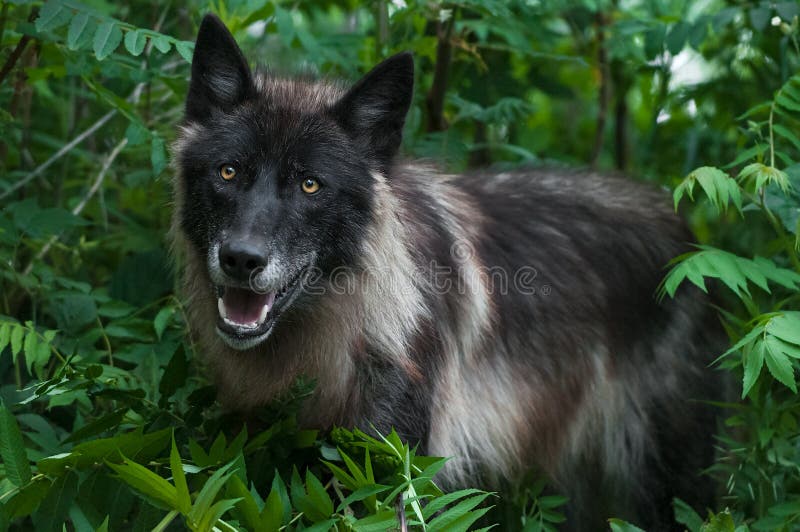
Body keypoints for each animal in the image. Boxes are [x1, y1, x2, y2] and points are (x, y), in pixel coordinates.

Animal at [172, 14, 721, 530]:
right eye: (228, 172)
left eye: (310, 185)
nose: (241, 259)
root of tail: (685, 233)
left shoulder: (389, 471)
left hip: (662, 485)